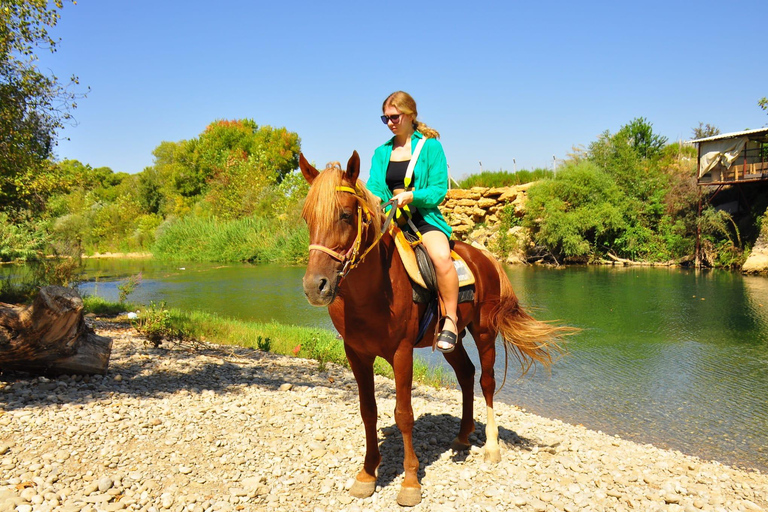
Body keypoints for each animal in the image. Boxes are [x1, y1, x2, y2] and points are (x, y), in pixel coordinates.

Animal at [300, 150, 568, 506]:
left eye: (344, 215)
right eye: (307, 218)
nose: (315, 286)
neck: (374, 289)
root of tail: (486, 258)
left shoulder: (401, 353)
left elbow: (403, 413)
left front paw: (410, 482)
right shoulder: (356, 354)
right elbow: (368, 410)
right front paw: (367, 474)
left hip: (485, 333)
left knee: (485, 382)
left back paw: (491, 446)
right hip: (450, 340)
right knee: (466, 374)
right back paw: (463, 437)